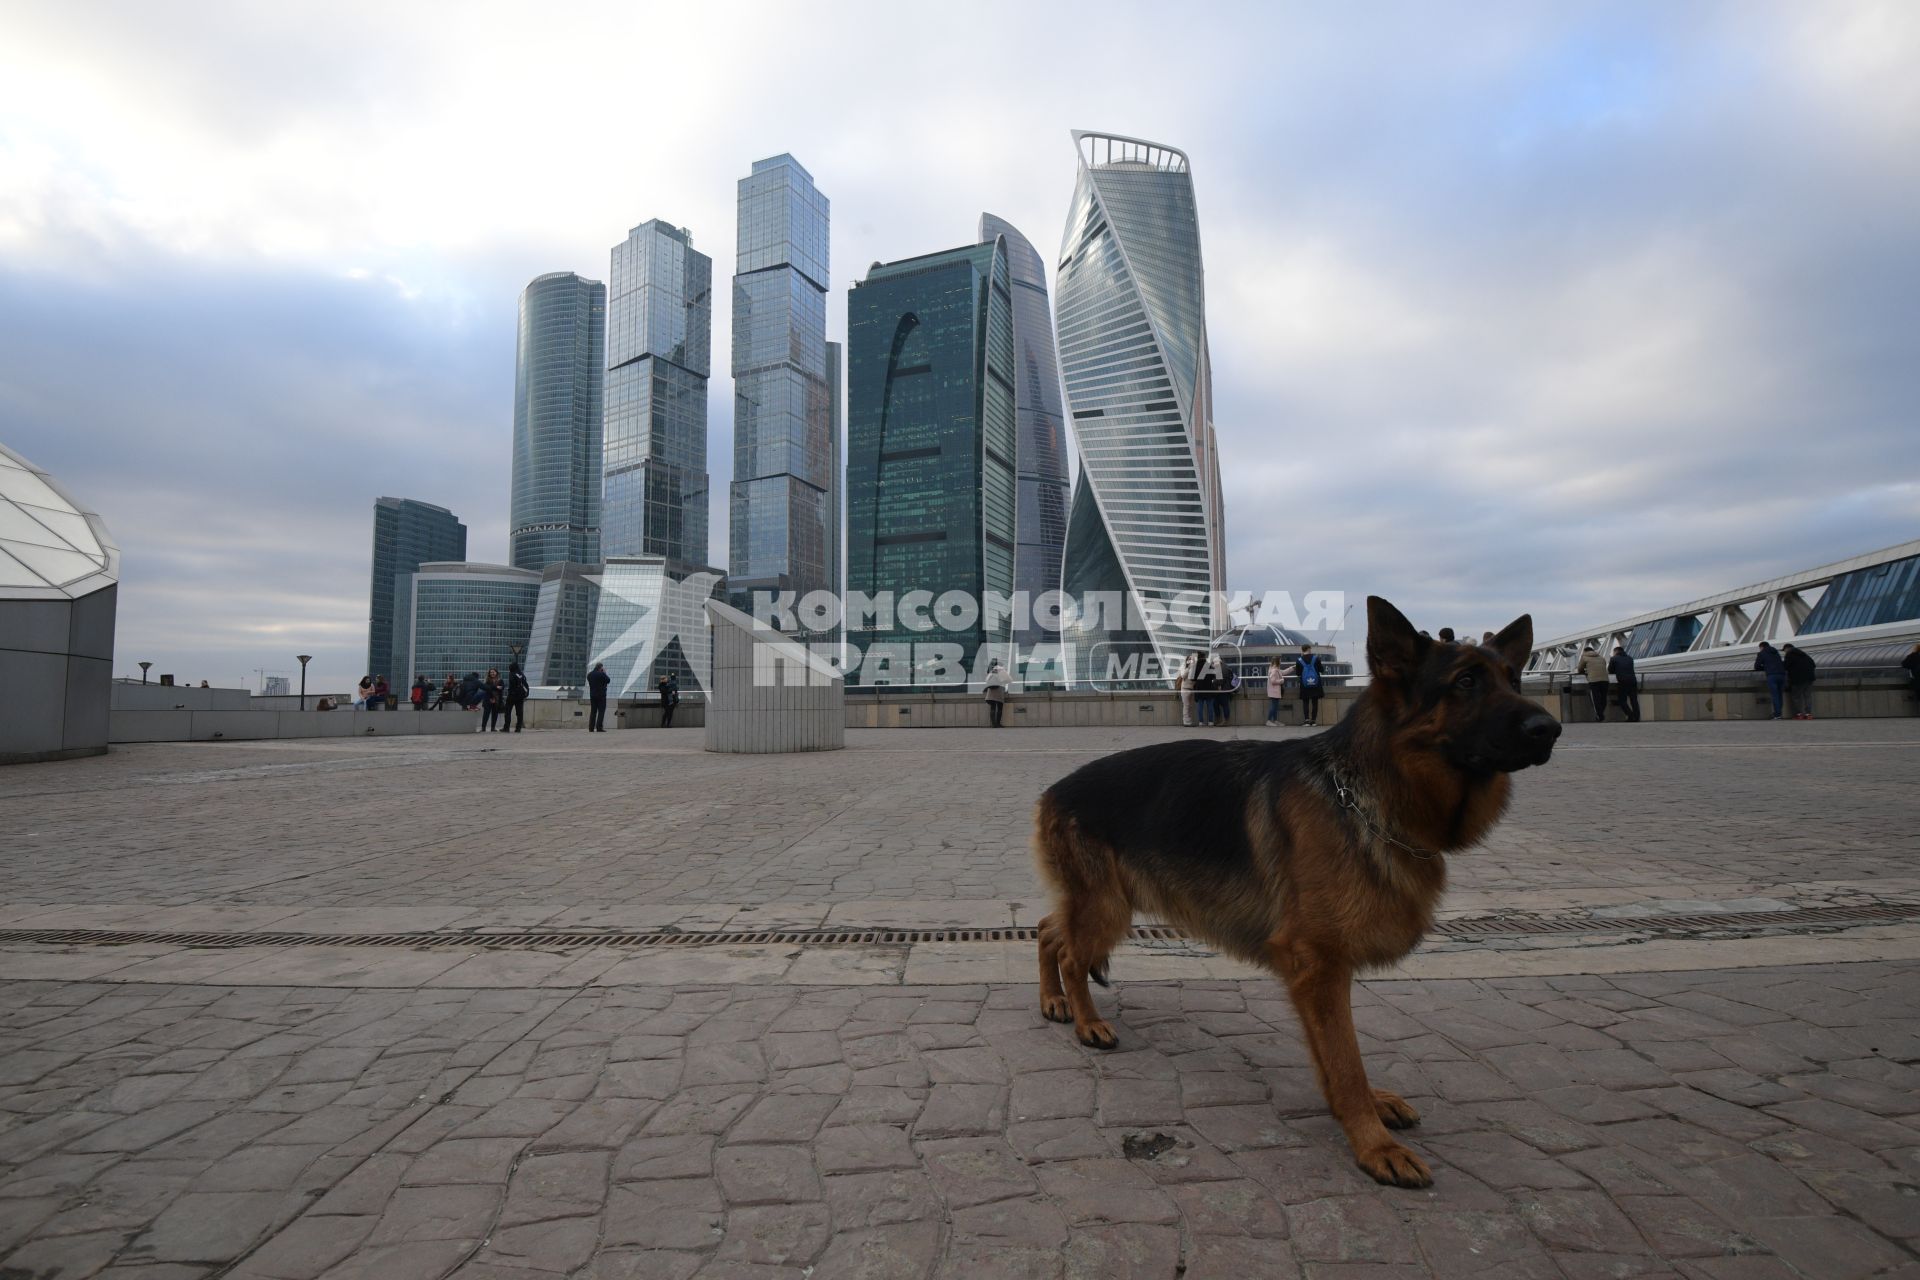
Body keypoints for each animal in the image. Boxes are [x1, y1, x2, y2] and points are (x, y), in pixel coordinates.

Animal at [1036, 594, 1559, 1189]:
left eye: (1514, 678)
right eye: (1466, 681)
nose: (1550, 727)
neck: (1364, 793)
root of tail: (1054, 789)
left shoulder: (1322, 974)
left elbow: (1335, 1059)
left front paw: (1368, 1110)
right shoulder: (1319, 966)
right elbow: (1346, 1059)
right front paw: (1374, 1144)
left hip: (1105, 905)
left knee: (1049, 931)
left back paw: (1053, 1001)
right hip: (1108, 908)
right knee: (1072, 954)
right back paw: (1086, 1021)